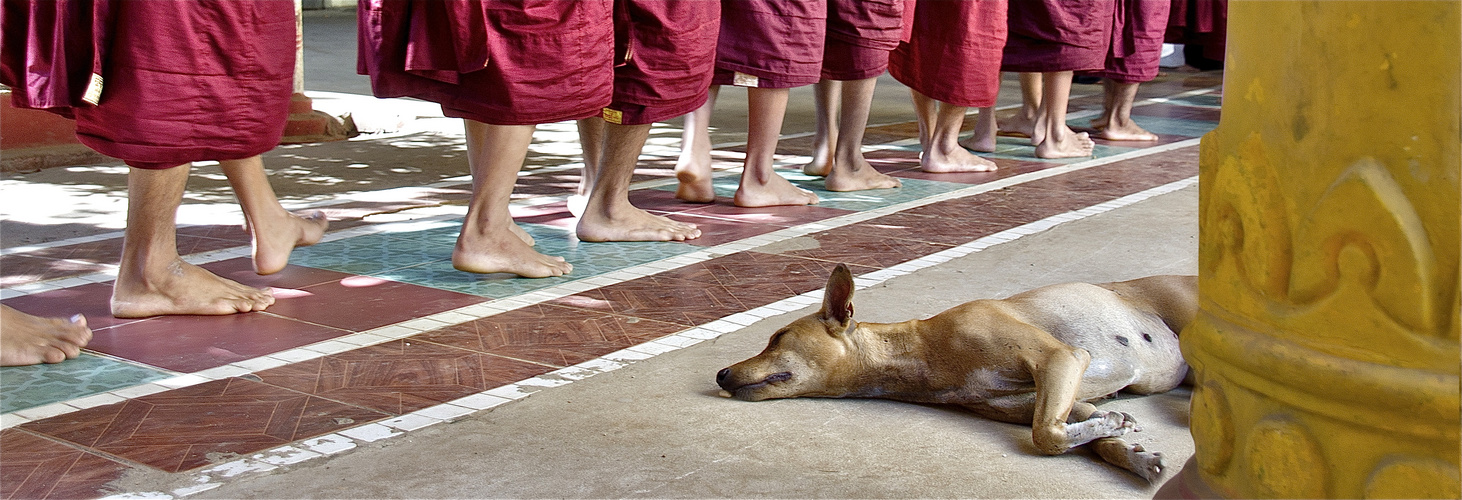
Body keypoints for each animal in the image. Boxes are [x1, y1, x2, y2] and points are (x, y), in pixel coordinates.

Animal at [713, 263, 1192, 482]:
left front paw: (1117, 428)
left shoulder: (1061, 358)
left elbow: (1047, 435)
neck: (923, 351)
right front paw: (1129, 447)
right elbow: (1082, 431)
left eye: (778, 337)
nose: (720, 374)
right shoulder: (1060, 400)